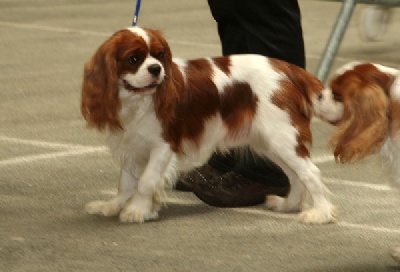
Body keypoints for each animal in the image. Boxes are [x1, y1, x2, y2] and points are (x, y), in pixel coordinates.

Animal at [79, 26, 336, 224]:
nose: (156, 69)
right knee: (295, 174)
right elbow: (126, 182)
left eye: (160, 55)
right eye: (134, 59)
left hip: (281, 136)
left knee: (310, 172)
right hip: (268, 141)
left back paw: (320, 214)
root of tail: (286, 68)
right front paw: (113, 206)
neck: (137, 100)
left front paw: (137, 211)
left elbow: (146, 181)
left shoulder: (164, 146)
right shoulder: (132, 144)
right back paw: (289, 205)